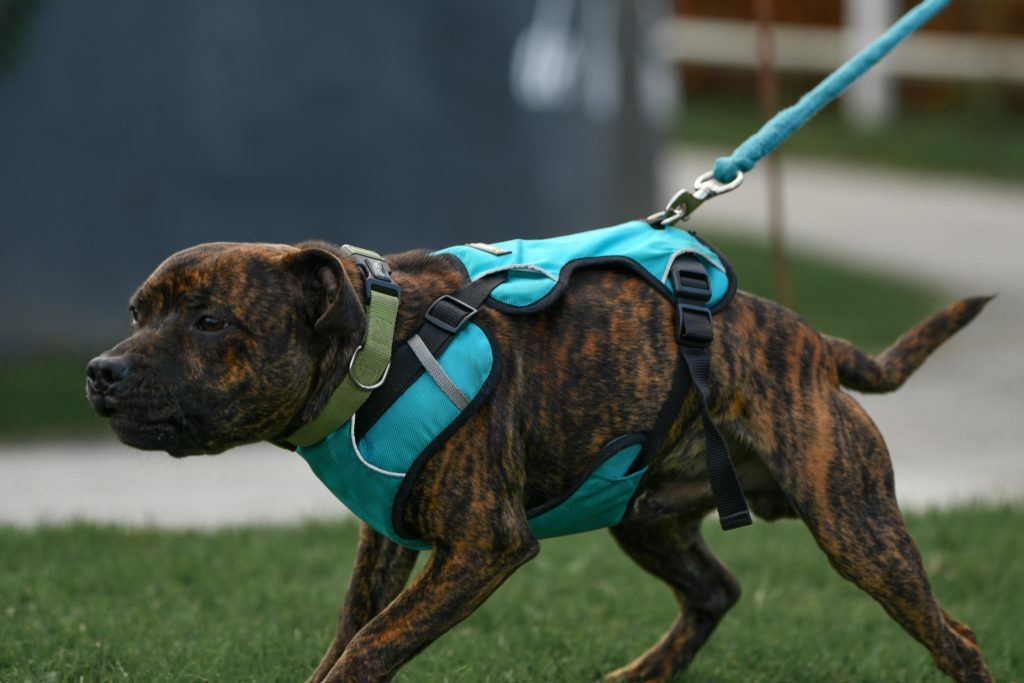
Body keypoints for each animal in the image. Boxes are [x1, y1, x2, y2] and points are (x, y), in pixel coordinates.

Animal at [86, 241, 991, 683]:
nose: (101, 370)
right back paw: (640, 675)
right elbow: (351, 630)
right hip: (645, 516)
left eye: (209, 321)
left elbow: (371, 645)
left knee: (955, 635)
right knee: (716, 590)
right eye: (135, 313)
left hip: (853, 525)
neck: (374, 347)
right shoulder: (386, 544)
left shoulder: (481, 546)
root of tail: (815, 345)